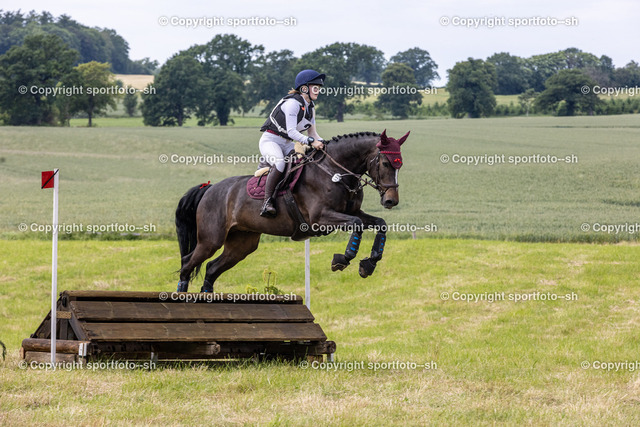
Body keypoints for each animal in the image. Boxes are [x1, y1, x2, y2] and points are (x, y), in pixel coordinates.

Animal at [175, 129, 410, 292]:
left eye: (400, 165)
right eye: (386, 163)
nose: (391, 200)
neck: (335, 173)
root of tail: (210, 188)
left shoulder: (354, 212)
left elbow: (379, 223)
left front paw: (369, 263)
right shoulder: (319, 219)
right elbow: (357, 225)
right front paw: (342, 259)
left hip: (242, 243)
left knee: (211, 268)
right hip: (210, 240)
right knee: (187, 263)